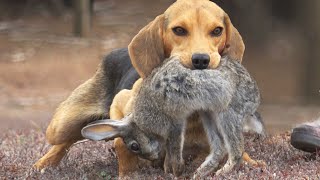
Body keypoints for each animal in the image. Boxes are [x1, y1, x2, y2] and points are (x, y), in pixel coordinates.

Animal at [81, 56, 262, 177]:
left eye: (134, 146)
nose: (152, 157)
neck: (139, 122)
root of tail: (255, 97)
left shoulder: (174, 123)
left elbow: (174, 146)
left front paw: (175, 171)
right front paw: (171, 169)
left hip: (227, 113)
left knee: (236, 150)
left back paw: (221, 172)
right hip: (208, 113)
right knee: (220, 148)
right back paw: (200, 173)